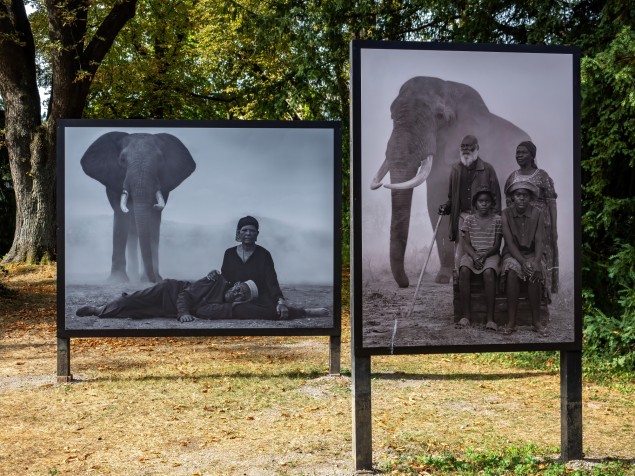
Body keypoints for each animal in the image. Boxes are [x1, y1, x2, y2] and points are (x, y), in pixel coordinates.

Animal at [82, 131, 196, 282]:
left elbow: (154, 219)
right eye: (123, 159)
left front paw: (150, 279)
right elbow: (120, 216)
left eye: (160, 159)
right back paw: (132, 276)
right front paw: (118, 280)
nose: (154, 280)